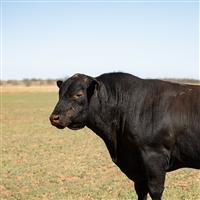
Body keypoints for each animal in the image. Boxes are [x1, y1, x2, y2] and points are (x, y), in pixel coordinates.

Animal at [49, 72, 200, 199]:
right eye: (60, 93)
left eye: (78, 94)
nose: (54, 118)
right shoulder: (138, 169)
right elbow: (141, 191)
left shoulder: (154, 157)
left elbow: (155, 190)